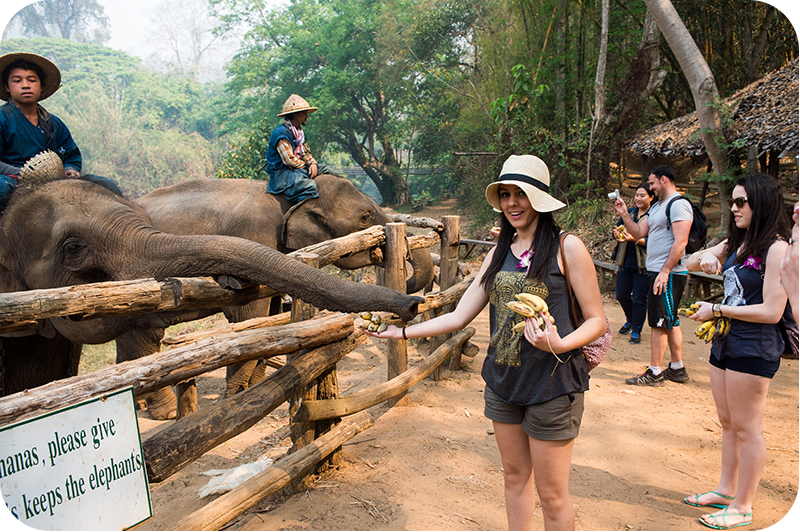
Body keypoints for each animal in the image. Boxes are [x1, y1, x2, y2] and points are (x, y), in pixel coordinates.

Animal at [0, 177, 424, 418]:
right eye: (366, 217)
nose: (413, 305)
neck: (292, 193)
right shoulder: (258, 230)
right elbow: (247, 318)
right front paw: (235, 398)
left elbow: (268, 310)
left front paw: (250, 388)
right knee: (142, 337)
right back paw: (162, 414)